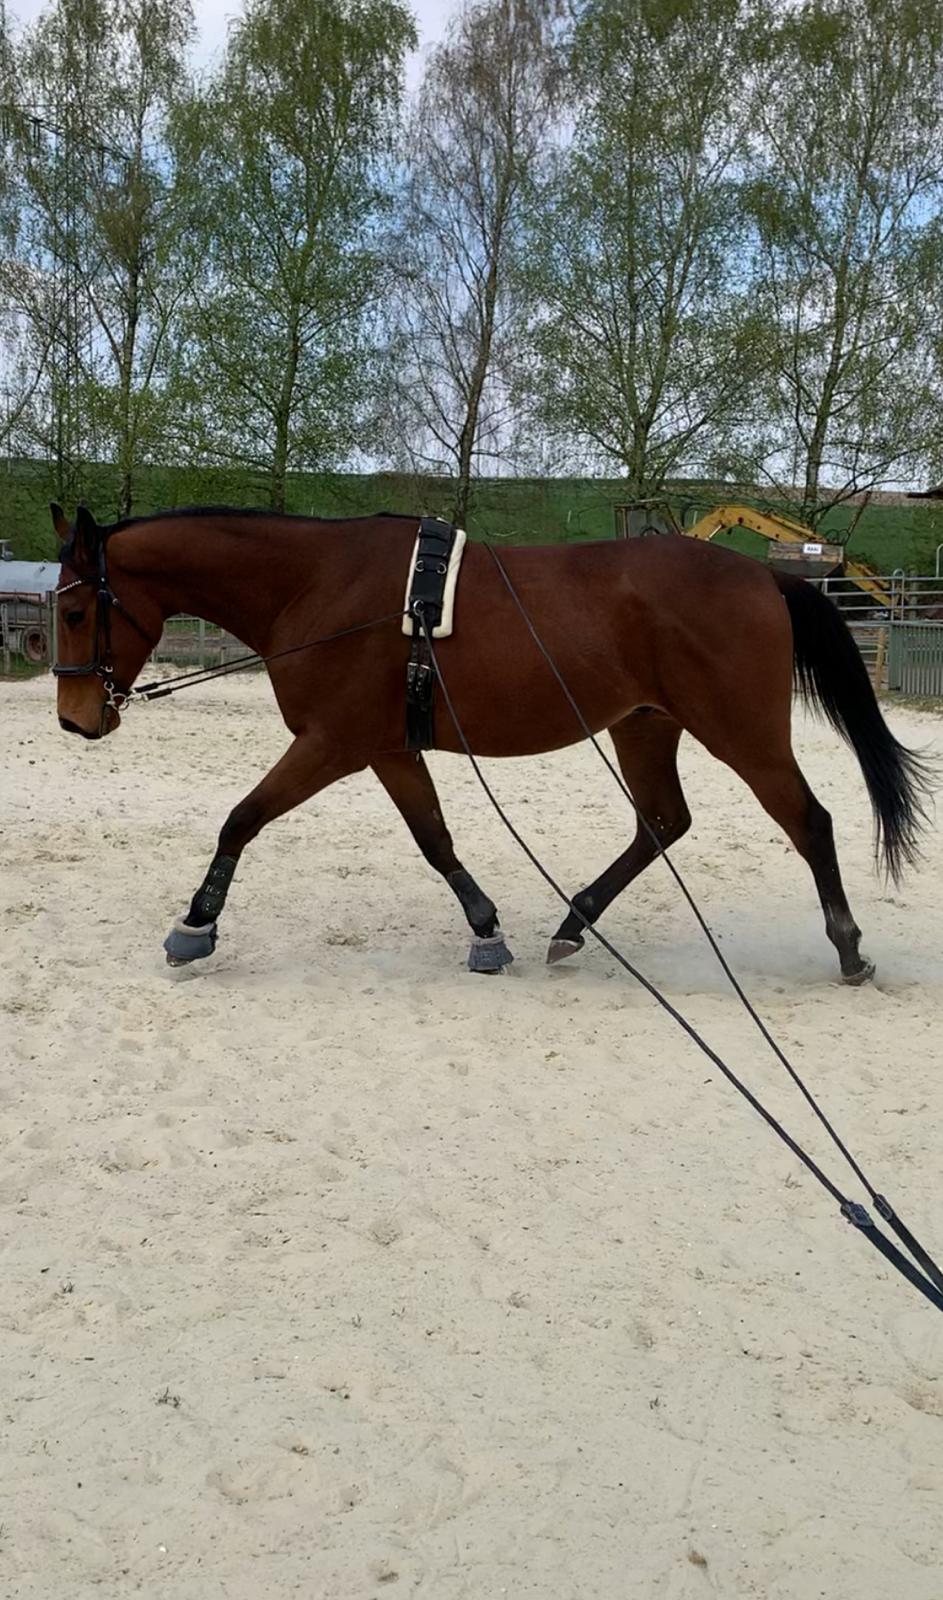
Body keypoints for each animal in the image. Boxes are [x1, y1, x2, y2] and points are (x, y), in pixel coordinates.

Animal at [51, 502, 931, 982]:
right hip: (643, 724)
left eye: (72, 609)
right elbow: (434, 839)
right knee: (661, 821)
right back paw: (572, 923)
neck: (316, 584)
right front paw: (485, 931)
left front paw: (195, 927)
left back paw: (848, 949)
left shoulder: (332, 742)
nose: (74, 718)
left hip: (740, 731)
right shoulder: (386, 749)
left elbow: (241, 817)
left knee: (807, 820)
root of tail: (763, 575)